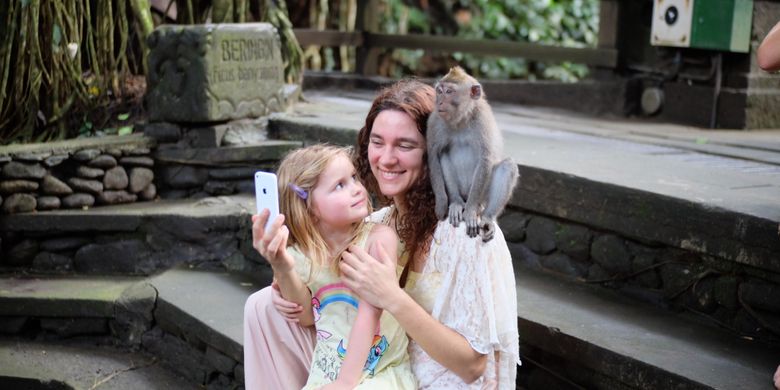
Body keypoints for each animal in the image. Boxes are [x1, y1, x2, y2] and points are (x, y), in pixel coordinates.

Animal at [426, 66, 516, 242]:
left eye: (449, 91)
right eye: (439, 91)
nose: (439, 101)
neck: (461, 120)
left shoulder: (482, 119)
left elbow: (485, 159)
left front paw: (470, 212)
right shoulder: (435, 121)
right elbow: (433, 156)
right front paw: (441, 204)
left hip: (483, 196)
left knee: (507, 166)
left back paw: (486, 217)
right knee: (443, 154)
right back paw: (455, 203)